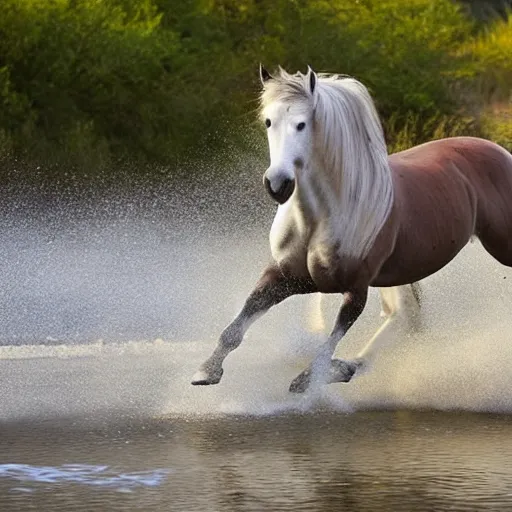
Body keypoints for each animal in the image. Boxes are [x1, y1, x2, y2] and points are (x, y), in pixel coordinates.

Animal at [191, 64, 512, 392]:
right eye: (269, 121)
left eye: (302, 124)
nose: (278, 184)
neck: (319, 218)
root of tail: (499, 151)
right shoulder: (286, 277)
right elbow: (239, 322)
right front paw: (206, 371)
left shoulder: (356, 289)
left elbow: (328, 345)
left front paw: (311, 379)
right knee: (400, 318)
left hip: (501, 246)